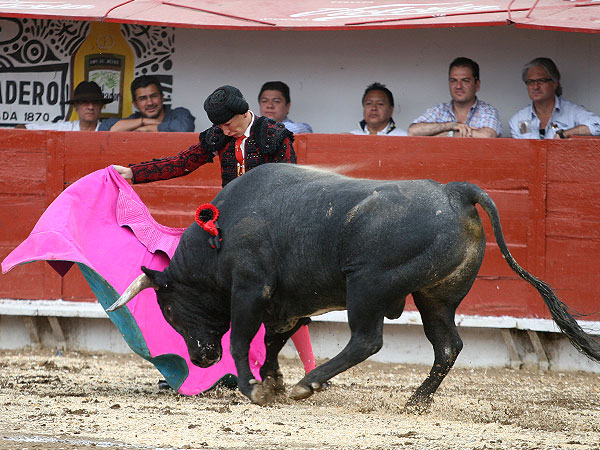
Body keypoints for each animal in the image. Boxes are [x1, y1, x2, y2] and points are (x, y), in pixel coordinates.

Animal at [109, 163, 600, 410]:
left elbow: (244, 339)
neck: (220, 234)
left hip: (366, 286)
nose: (199, 358)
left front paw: (256, 388)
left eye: (169, 308)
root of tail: (454, 191)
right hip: (435, 297)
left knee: (367, 340)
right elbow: (273, 341)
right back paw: (415, 401)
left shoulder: (250, 291)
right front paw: (273, 382)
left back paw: (311, 383)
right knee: (447, 345)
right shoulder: (288, 303)